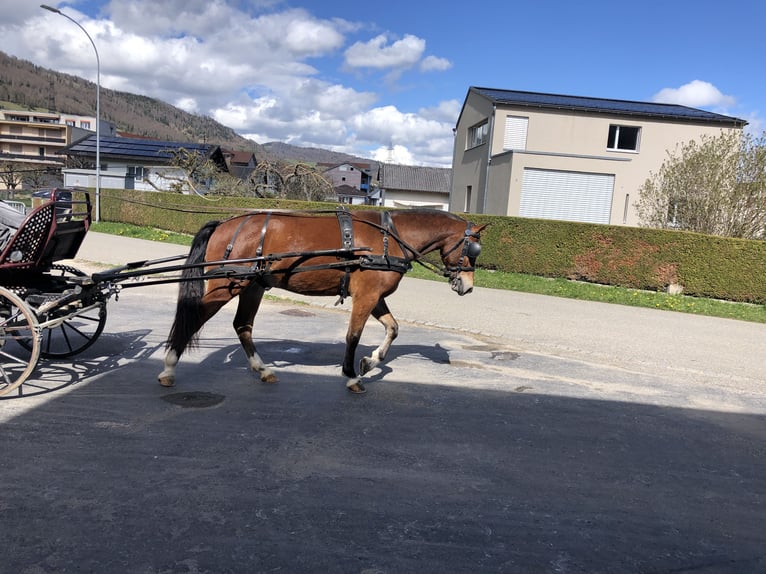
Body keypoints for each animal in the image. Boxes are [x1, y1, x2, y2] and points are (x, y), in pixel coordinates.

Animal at [159, 209, 488, 394]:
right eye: (473, 249)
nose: (468, 287)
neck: (389, 238)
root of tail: (225, 224)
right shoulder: (366, 296)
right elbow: (353, 335)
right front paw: (352, 376)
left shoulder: (374, 296)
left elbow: (393, 329)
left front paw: (370, 361)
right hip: (227, 286)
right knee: (193, 317)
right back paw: (169, 368)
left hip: (252, 286)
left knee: (243, 326)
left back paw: (262, 369)